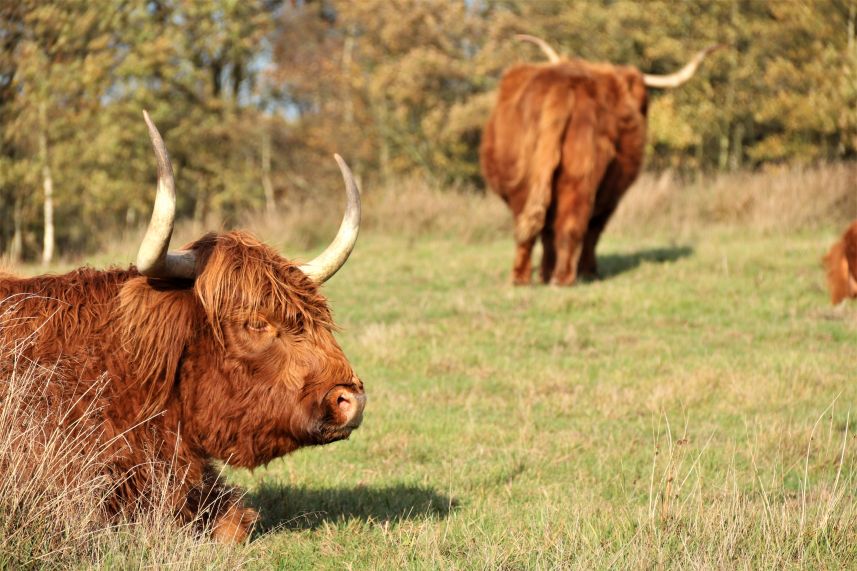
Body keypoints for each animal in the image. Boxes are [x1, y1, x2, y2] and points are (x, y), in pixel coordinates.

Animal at [478, 35, 720, 286]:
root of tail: (564, 87)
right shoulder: (611, 196)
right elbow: (593, 230)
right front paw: (586, 271)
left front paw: (545, 274)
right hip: (581, 177)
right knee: (572, 224)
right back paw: (564, 278)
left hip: (526, 179)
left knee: (531, 226)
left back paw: (524, 278)